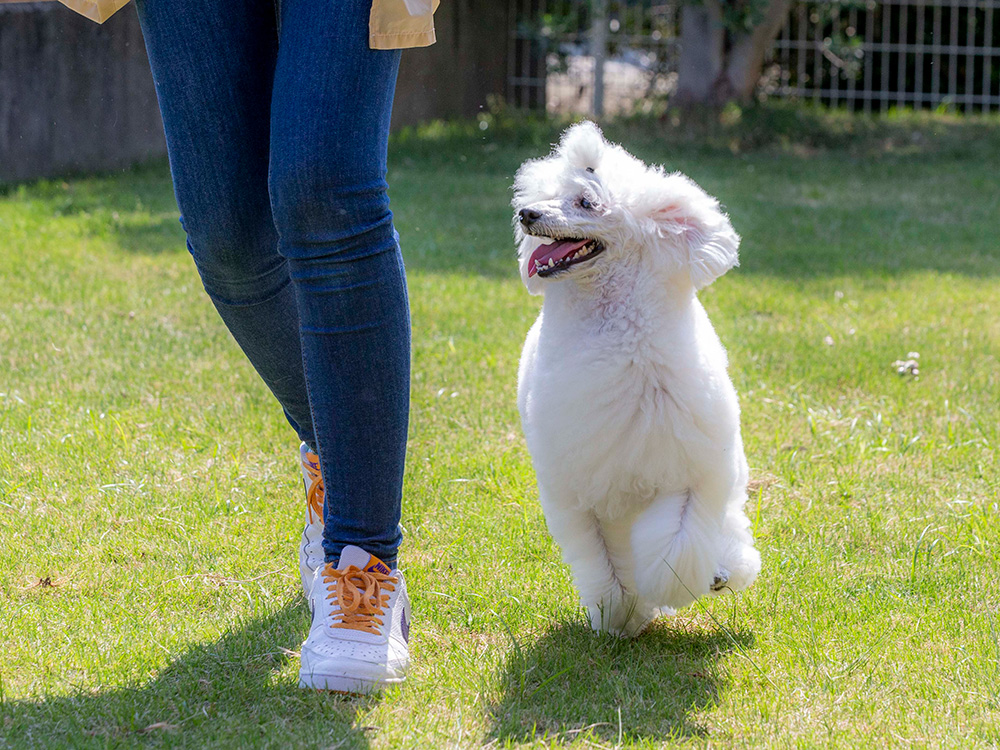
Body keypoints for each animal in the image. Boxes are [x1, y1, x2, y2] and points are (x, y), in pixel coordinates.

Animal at [512, 120, 760, 636]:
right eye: (547, 195)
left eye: (586, 203)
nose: (527, 214)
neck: (623, 336)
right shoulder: (582, 495)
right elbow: (604, 562)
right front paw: (620, 613)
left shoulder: (691, 470)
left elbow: (679, 545)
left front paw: (672, 587)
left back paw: (725, 569)